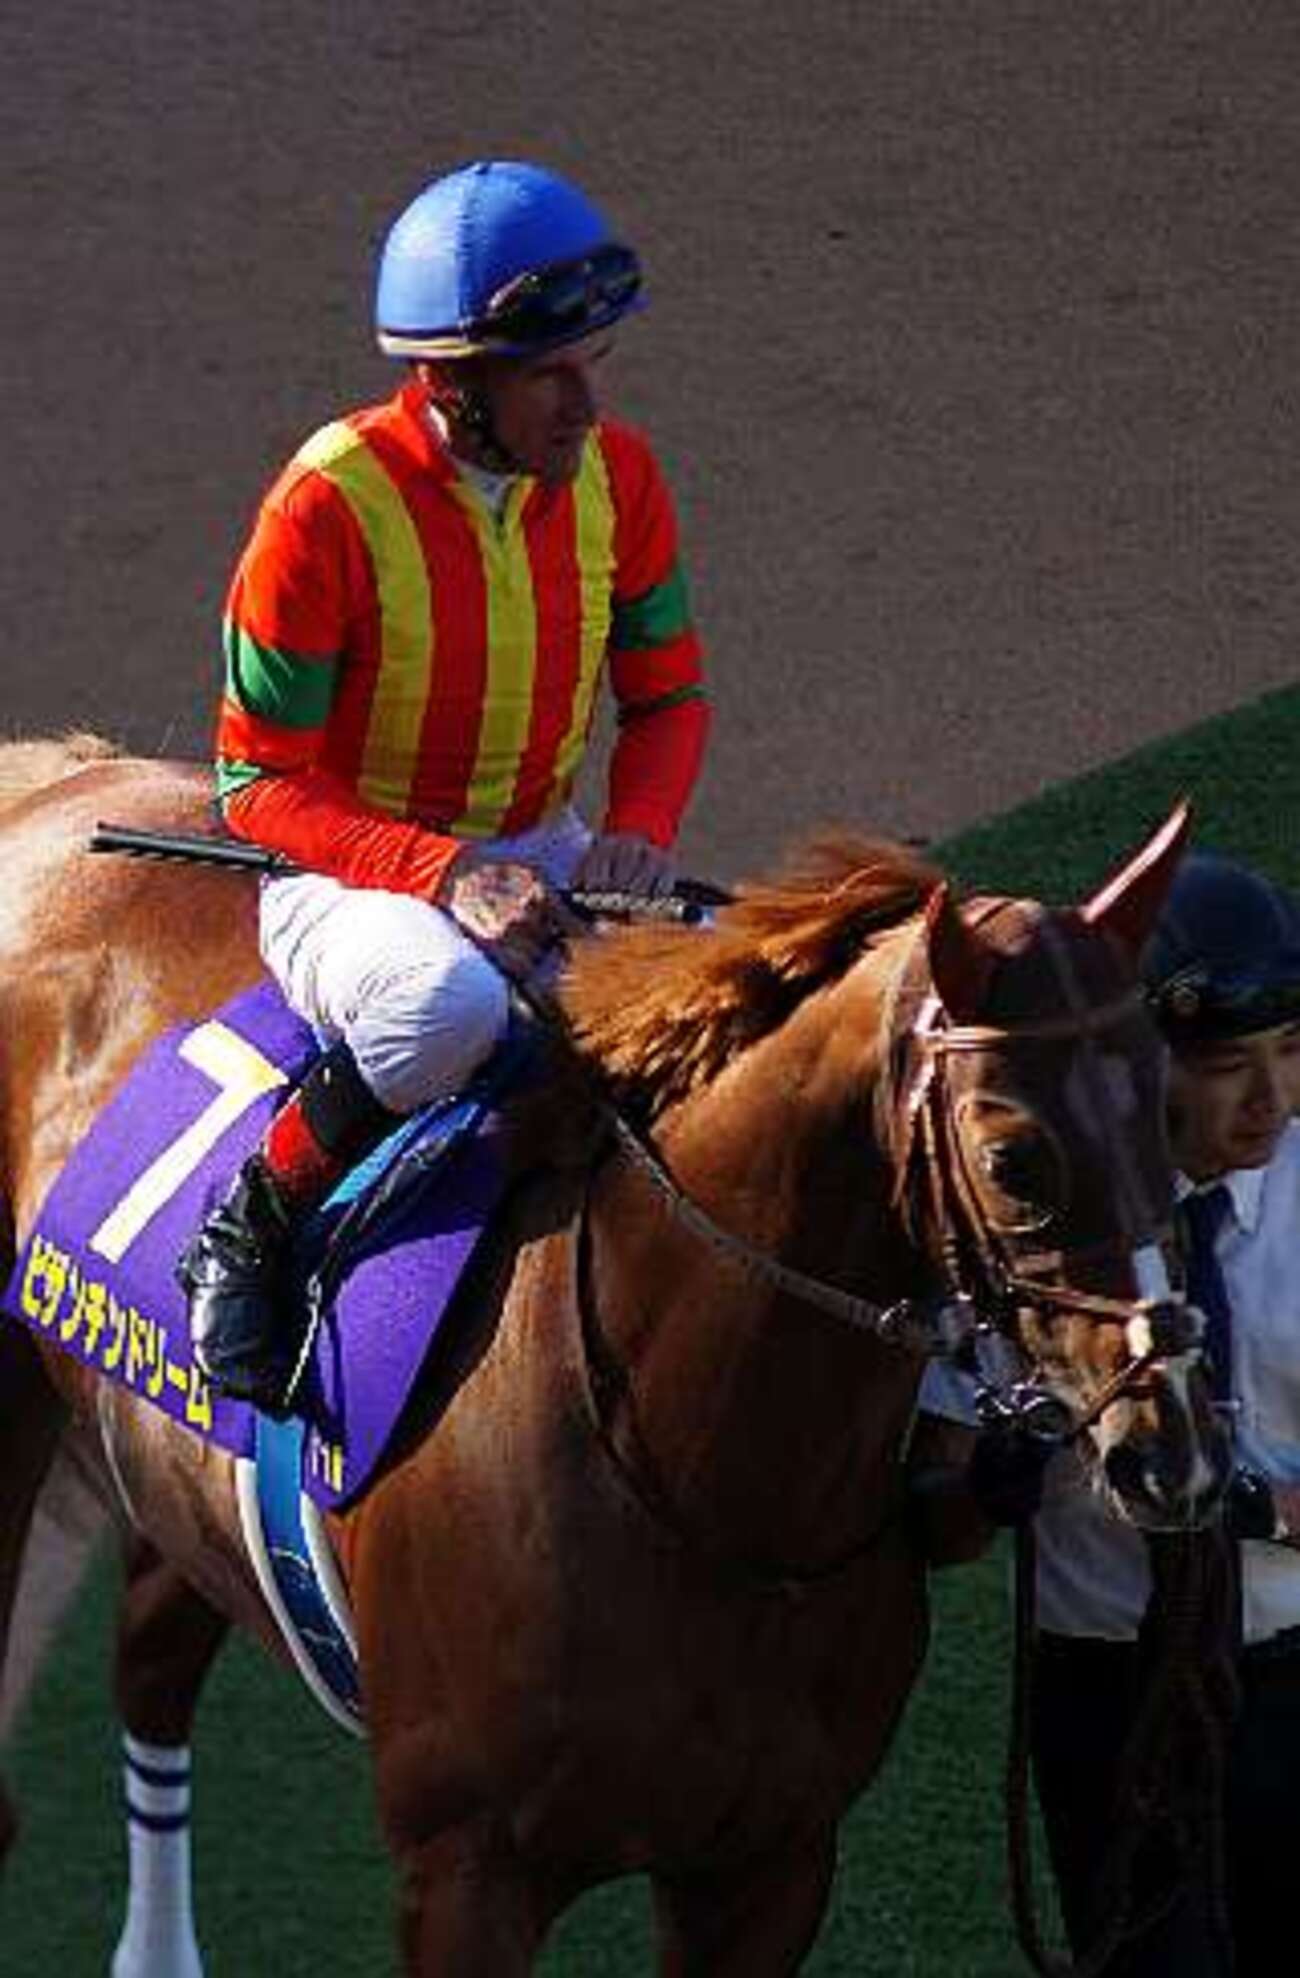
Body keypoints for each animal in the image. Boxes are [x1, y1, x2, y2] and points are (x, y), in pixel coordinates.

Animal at [0, 738, 1227, 1975]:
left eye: (1165, 1111)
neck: (691, 1478)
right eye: (1014, 1157)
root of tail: (57, 774)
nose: (1173, 1448)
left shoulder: (770, 1862)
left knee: (152, 1646)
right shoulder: (466, 1872)